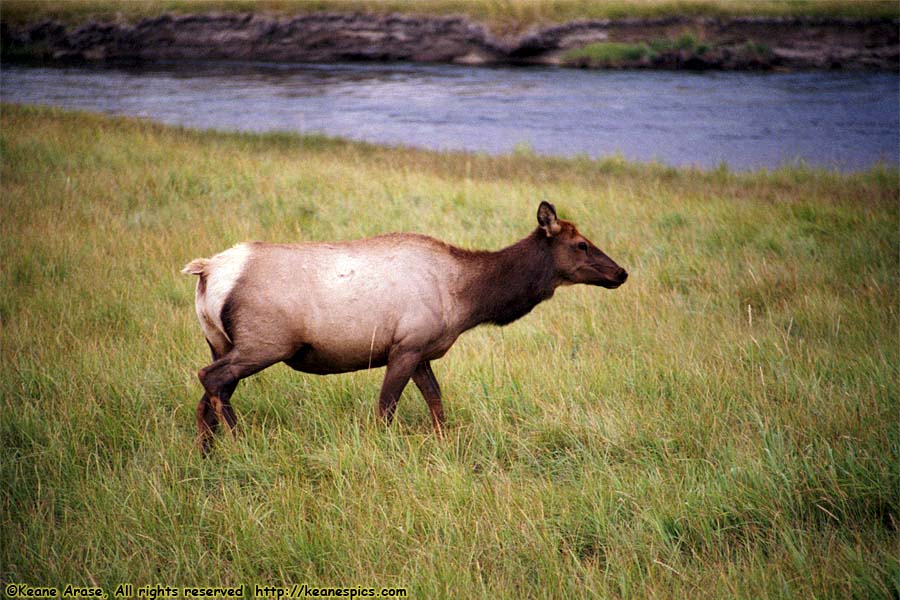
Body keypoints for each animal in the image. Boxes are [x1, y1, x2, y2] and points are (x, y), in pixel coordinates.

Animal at [185, 199, 624, 452]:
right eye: (581, 244)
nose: (620, 272)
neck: (465, 298)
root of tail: (207, 271)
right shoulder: (405, 346)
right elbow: (386, 409)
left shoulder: (422, 351)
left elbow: (436, 402)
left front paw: (444, 446)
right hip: (264, 343)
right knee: (211, 378)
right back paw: (240, 441)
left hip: (219, 340)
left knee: (208, 392)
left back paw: (207, 452)